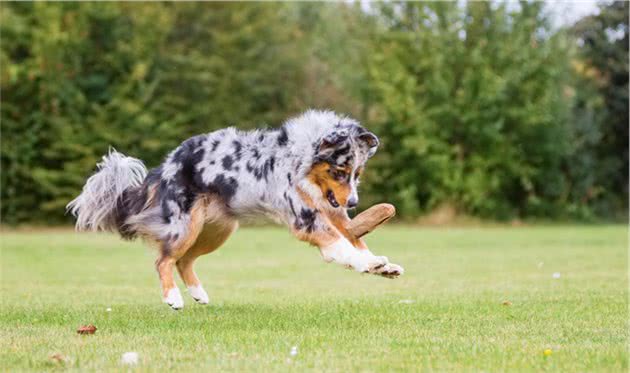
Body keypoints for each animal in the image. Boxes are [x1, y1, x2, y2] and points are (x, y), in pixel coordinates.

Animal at [68, 109, 404, 308]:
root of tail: (167, 163)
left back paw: (199, 294)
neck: (300, 162)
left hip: (218, 230)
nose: (354, 202)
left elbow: (354, 238)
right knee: (163, 260)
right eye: (338, 171)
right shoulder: (305, 219)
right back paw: (173, 297)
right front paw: (366, 264)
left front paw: (379, 265)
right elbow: (342, 244)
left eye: (357, 173)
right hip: (185, 225)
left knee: (184, 260)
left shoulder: (331, 210)